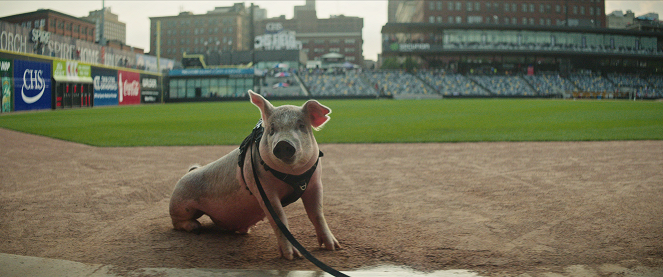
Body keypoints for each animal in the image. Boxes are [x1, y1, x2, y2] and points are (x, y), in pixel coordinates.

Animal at [169, 89, 340, 258]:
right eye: (272, 129)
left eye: (302, 125)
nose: (283, 143)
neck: (292, 174)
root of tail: (190, 172)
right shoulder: (263, 189)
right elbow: (279, 218)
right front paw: (292, 256)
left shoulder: (315, 183)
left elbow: (317, 214)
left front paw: (333, 248)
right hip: (180, 204)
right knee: (176, 222)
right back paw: (195, 228)